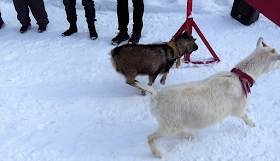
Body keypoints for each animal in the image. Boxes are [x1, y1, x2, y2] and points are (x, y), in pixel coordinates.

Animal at [137, 37, 280, 157]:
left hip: (174, 124)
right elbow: (244, 117)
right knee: (151, 137)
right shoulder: (239, 108)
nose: (278, 66)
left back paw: (188, 136)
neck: (240, 77)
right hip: (170, 125)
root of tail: (157, 97)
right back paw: (157, 153)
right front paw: (252, 124)